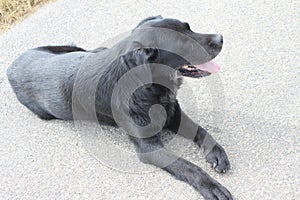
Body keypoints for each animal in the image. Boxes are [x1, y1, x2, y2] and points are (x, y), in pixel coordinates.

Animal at [6, 16, 232, 200]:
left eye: (189, 27)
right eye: (183, 43)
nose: (221, 38)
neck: (147, 87)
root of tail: (11, 66)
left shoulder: (174, 114)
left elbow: (201, 130)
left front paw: (216, 152)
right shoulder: (149, 148)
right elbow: (188, 166)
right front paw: (211, 186)